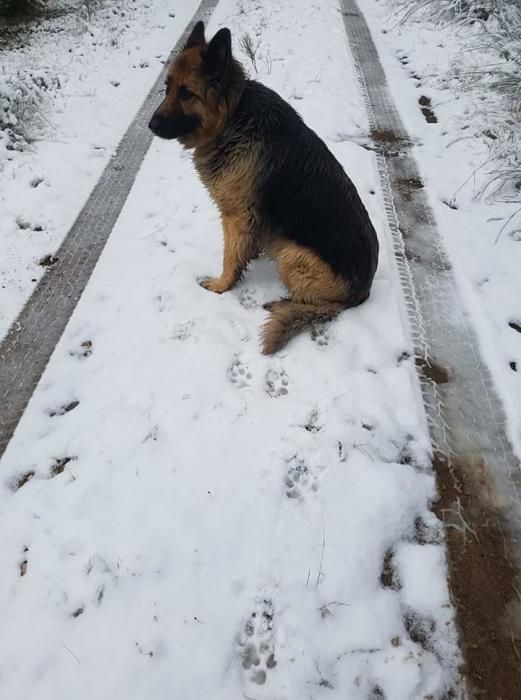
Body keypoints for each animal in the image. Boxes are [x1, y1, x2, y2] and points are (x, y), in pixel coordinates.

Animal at [149, 21, 378, 352]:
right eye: (167, 87)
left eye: (186, 93)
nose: (151, 126)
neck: (232, 118)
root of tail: (363, 290)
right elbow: (241, 249)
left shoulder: (237, 216)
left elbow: (230, 257)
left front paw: (221, 286)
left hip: (293, 255)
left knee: (325, 305)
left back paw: (284, 305)